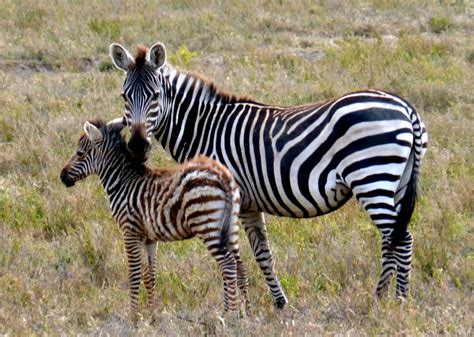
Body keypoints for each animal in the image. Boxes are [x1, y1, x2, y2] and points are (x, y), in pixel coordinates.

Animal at [60, 117, 248, 316]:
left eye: (79, 153)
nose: (62, 176)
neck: (122, 183)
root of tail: (221, 175)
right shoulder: (149, 238)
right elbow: (149, 275)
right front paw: (151, 314)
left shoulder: (130, 232)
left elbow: (134, 275)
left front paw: (134, 315)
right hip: (230, 227)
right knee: (239, 265)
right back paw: (244, 311)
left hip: (207, 224)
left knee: (228, 264)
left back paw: (231, 314)